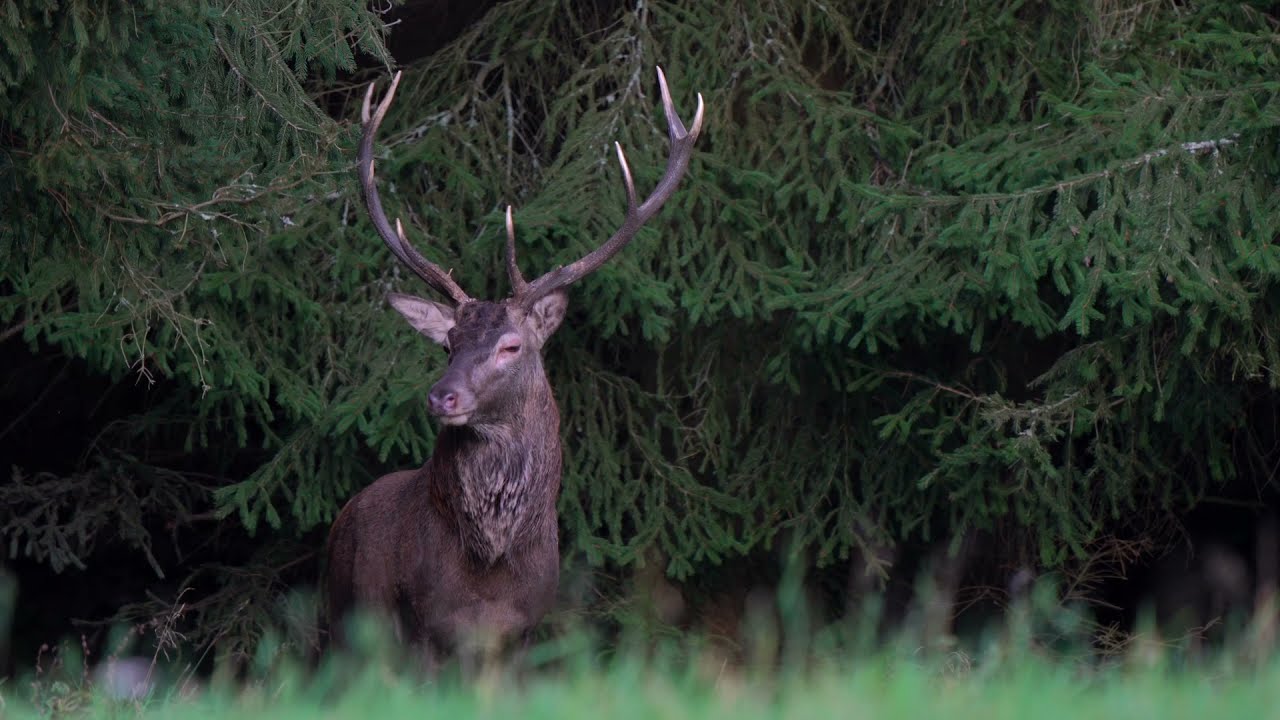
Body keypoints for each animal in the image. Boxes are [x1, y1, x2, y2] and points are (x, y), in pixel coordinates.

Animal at [324, 67, 703, 670]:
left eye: (511, 346)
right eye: (448, 341)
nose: (442, 396)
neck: (491, 571)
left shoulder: (525, 629)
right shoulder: (424, 625)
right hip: (340, 619)